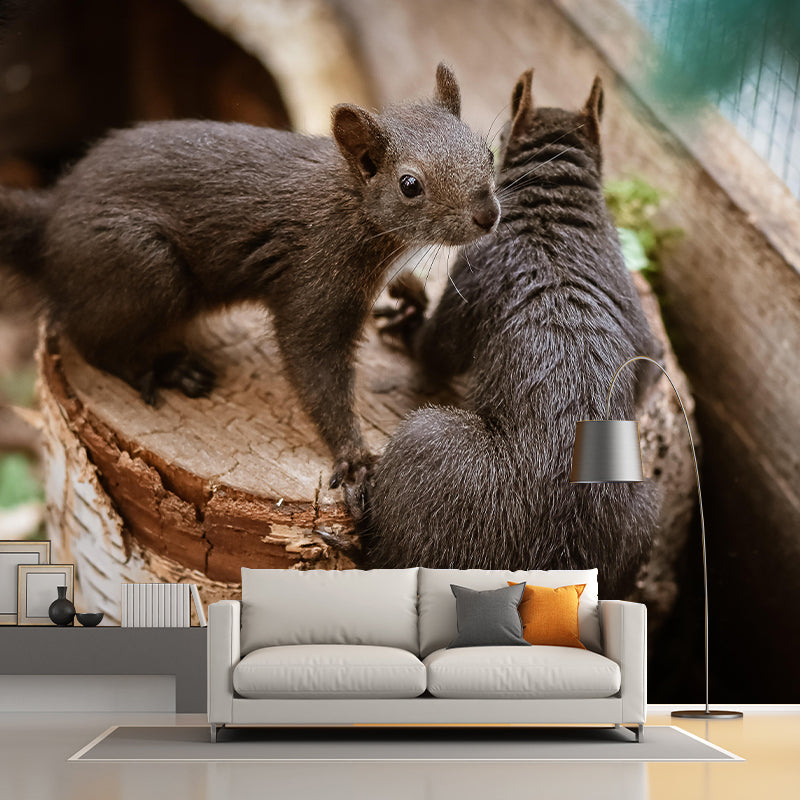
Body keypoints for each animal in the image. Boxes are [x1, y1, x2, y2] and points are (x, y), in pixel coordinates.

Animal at [0, 63, 499, 494]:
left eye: (488, 152)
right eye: (410, 185)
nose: (488, 215)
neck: (353, 204)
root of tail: (50, 219)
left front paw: (410, 293)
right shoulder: (316, 273)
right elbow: (314, 363)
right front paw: (354, 456)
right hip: (145, 268)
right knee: (91, 340)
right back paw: (164, 369)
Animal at [362, 71, 662, 597]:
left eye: (493, 149)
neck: (555, 212)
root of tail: (556, 558)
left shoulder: (478, 268)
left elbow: (436, 350)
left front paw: (410, 322)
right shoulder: (629, 293)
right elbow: (647, 368)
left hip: (429, 449)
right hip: (643, 514)